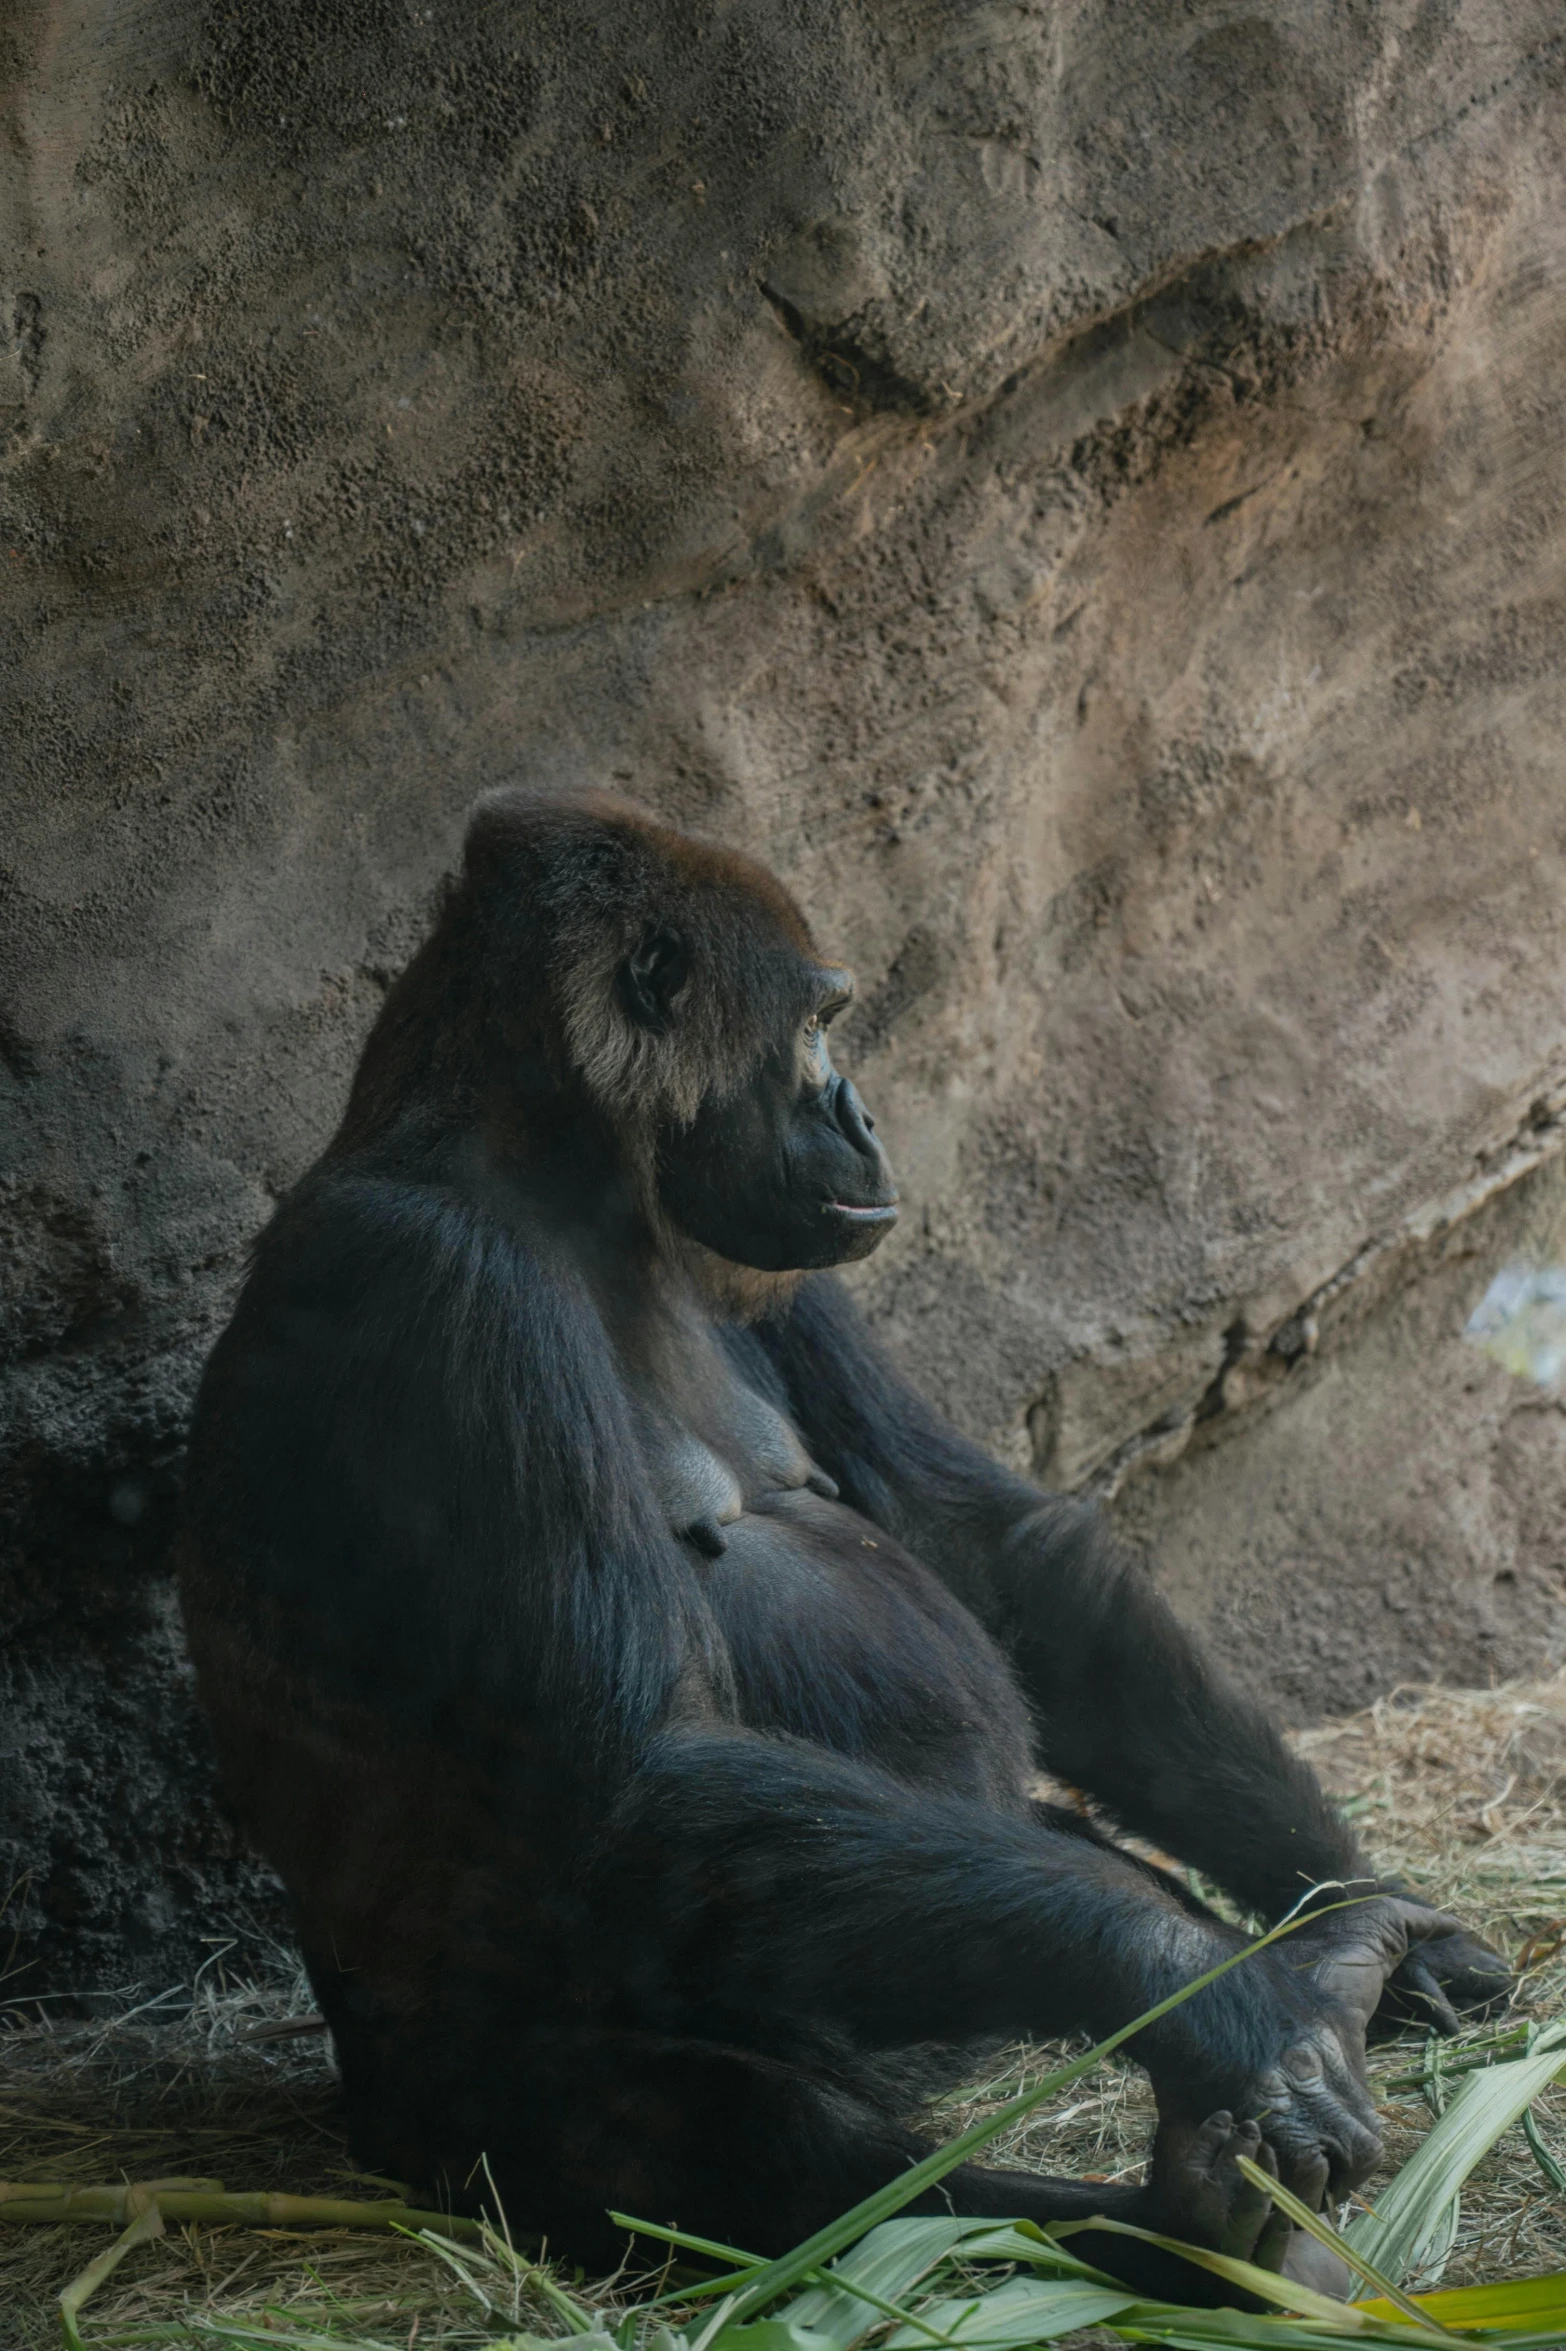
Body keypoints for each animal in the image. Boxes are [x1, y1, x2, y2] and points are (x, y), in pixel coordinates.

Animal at [179, 789, 1504, 2294]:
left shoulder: (784, 1261)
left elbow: (987, 1546)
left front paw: (1364, 1903)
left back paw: (1323, 1981)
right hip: (429, 2105)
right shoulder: (440, 1278)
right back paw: (1185, 2223)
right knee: (718, 2131)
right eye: (816, 1023)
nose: (859, 1108)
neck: (556, 1167)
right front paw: (1211, 2004)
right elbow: (638, 1775)